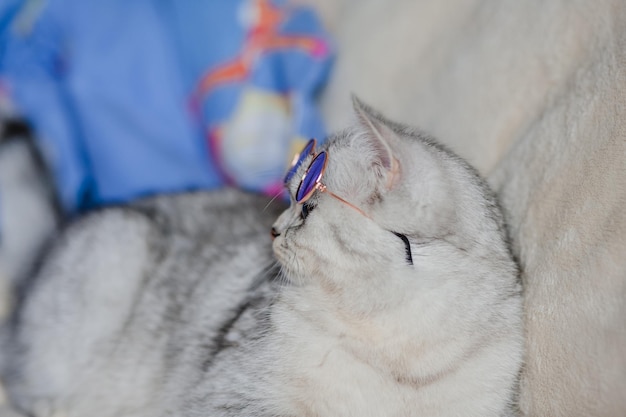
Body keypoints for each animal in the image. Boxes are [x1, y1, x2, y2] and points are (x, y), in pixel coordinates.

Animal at [0, 98, 520, 416]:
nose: (271, 229)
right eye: (287, 199)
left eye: (305, 208)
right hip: (114, 255)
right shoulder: (235, 392)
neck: (399, 357)